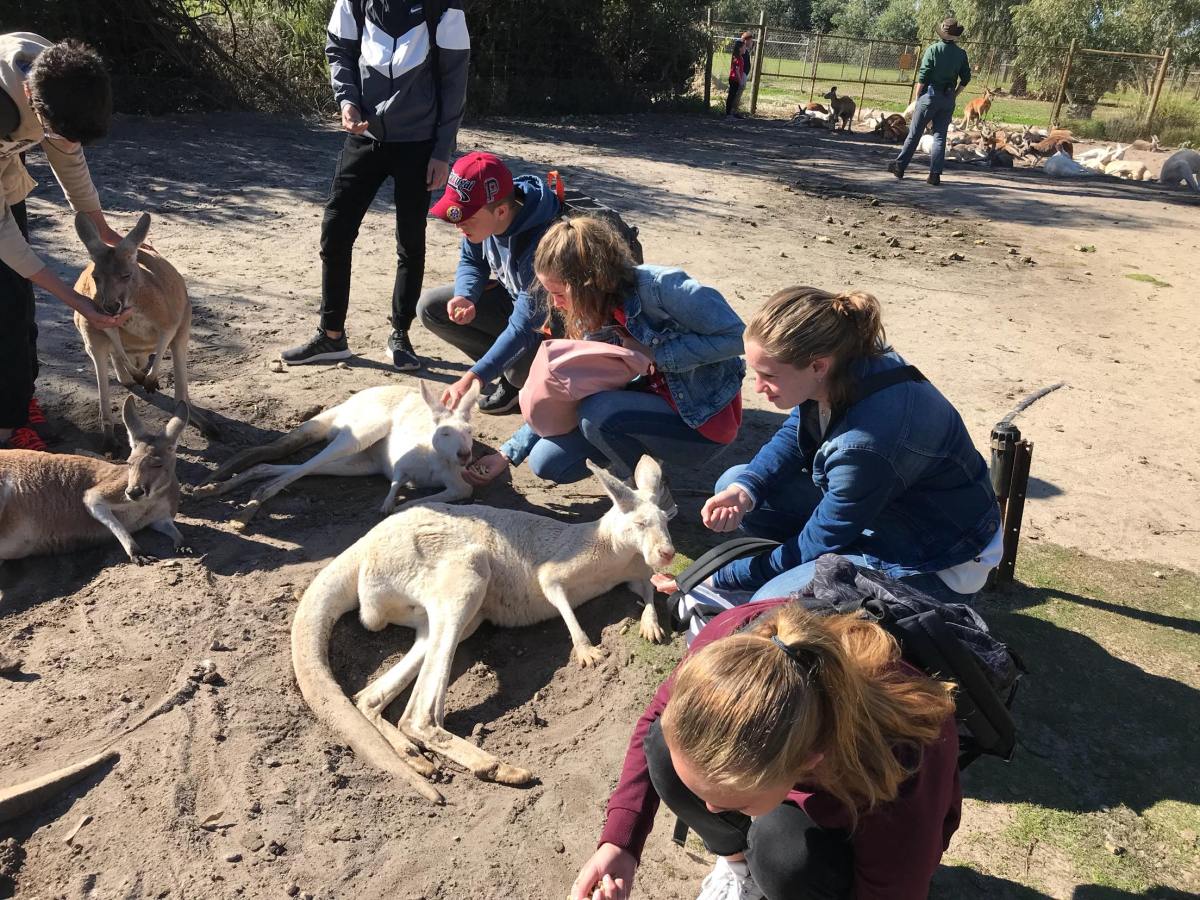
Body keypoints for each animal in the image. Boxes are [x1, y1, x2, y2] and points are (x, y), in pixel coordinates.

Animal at [0, 397, 189, 565]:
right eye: (129, 463)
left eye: (158, 465)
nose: (133, 492)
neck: (151, 499)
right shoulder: (106, 491)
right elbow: (100, 508)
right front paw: (136, 552)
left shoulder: (160, 517)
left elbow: (171, 528)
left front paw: (182, 544)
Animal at [74, 213, 218, 451]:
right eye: (96, 277)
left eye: (126, 275)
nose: (111, 306)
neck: (132, 303)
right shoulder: (99, 318)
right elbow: (119, 348)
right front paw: (140, 376)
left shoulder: (169, 320)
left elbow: (163, 341)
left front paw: (149, 379)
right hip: (90, 335)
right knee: (108, 366)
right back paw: (110, 436)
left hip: (185, 320)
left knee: (179, 387)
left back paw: (201, 421)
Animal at [194, 381, 478, 525]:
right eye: (444, 432)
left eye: (469, 431)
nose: (465, 456)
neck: (436, 457)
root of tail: (349, 402)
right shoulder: (403, 462)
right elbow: (399, 483)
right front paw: (392, 504)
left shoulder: (459, 484)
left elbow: (458, 492)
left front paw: (399, 506)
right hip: (364, 431)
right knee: (304, 466)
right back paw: (251, 500)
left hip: (361, 463)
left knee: (275, 467)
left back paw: (227, 491)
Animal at [290, 456, 675, 802]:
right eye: (640, 523)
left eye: (665, 522)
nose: (669, 552)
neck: (613, 551)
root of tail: (361, 548)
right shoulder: (556, 570)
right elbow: (558, 597)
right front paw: (587, 651)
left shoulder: (635, 572)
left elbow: (649, 593)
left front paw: (652, 627)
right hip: (463, 569)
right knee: (418, 718)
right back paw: (498, 768)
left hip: (454, 613)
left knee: (372, 697)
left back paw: (414, 757)